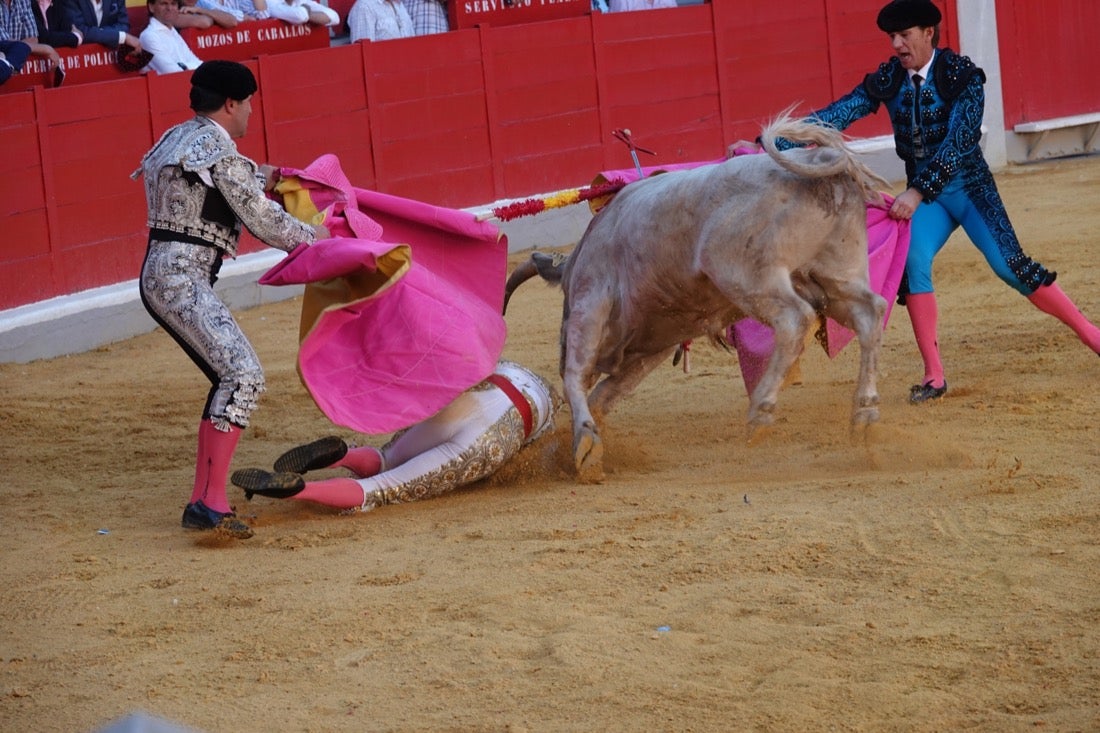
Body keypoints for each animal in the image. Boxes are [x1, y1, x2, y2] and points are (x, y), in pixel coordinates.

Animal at [506, 115, 893, 479]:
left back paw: (761, 412)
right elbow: (607, 393)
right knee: (870, 312)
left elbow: (576, 376)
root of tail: (820, 159)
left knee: (796, 318)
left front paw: (584, 445)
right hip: (834, 273)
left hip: (746, 275)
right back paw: (866, 415)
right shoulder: (658, 343)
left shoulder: (592, 303)